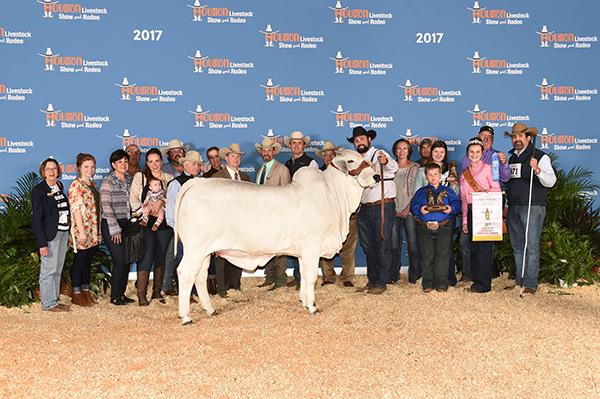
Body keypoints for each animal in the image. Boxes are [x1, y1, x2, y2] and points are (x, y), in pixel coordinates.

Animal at [173, 148, 378, 326]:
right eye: (351, 161)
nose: (376, 176)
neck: (333, 196)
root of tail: (196, 183)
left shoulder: (303, 252)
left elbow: (304, 276)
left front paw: (304, 301)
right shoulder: (312, 247)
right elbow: (312, 277)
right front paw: (313, 307)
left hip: (205, 252)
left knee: (200, 276)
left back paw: (210, 310)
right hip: (195, 249)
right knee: (185, 273)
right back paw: (186, 317)